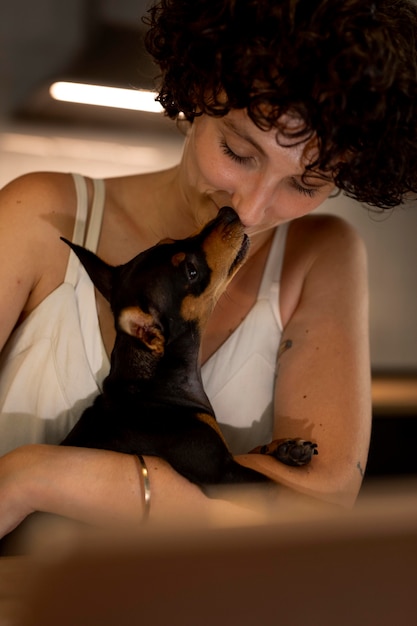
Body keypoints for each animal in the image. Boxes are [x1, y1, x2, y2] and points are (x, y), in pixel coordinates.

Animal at [60, 207, 316, 490]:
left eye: (169, 241)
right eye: (191, 272)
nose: (228, 212)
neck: (155, 386)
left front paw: (285, 448)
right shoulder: (221, 474)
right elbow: (273, 485)